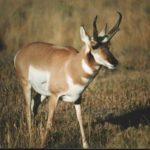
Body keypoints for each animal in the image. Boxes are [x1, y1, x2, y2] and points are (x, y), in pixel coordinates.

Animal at [13, 12, 122, 149]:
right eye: (94, 45)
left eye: (109, 45)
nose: (114, 62)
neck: (71, 66)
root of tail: (21, 51)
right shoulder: (54, 97)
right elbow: (50, 122)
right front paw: (43, 144)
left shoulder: (77, 98)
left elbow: (80, 119)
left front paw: (86, 145)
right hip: (26, 85)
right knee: (28, 108)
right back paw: (31, 138)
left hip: (42, 93)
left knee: (34, 105)